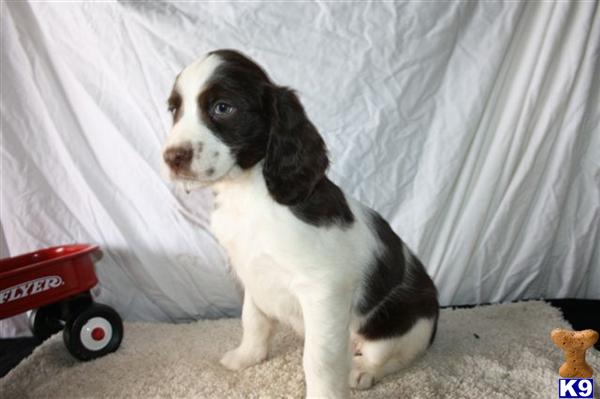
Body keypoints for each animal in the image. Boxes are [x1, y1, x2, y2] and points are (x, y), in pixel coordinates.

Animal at [162, 50, 438, 399]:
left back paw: (362, 371)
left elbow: (319, 359)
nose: (172, 157)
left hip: (399, 321)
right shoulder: (252, 275)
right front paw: (247, 357)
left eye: (223, 108)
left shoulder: (323, 290)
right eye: (175, 109)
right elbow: (253, 320)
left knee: (389, 356)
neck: (250, 195)